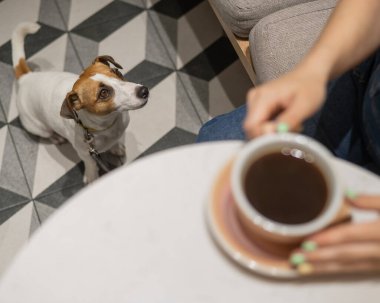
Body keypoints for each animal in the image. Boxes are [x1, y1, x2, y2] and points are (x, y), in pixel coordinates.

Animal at [11, 22, 148, 183]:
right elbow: (91, 165)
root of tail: (26, 77)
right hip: (37, 127)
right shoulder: (85, 154)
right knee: (46, 133)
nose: (144, 91)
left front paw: (116, 147)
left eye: (117, 72)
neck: (107, 124)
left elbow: (115, 142)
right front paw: (92, 177)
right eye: (103, 93)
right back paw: (55, 137)